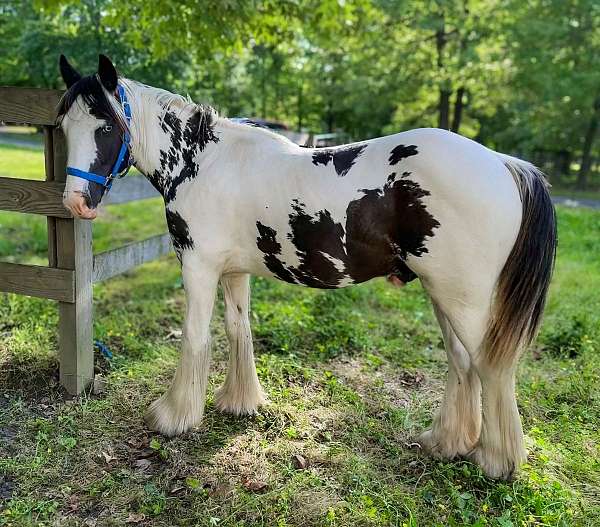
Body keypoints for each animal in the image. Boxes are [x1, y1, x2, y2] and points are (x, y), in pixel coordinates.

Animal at [57, 55, 556, 480]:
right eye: (64, 126)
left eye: (106, 126)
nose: (76, 203)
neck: (202, 162)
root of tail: (503, 164)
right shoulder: (233, 272)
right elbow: (238, 330)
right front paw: (239, 402)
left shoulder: (197, 266)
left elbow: (195, 338)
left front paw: (173, 417)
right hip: (444, 294)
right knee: (462, 362)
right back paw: (447, 442)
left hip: (463, 299)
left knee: (490, 368)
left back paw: (495, 461)